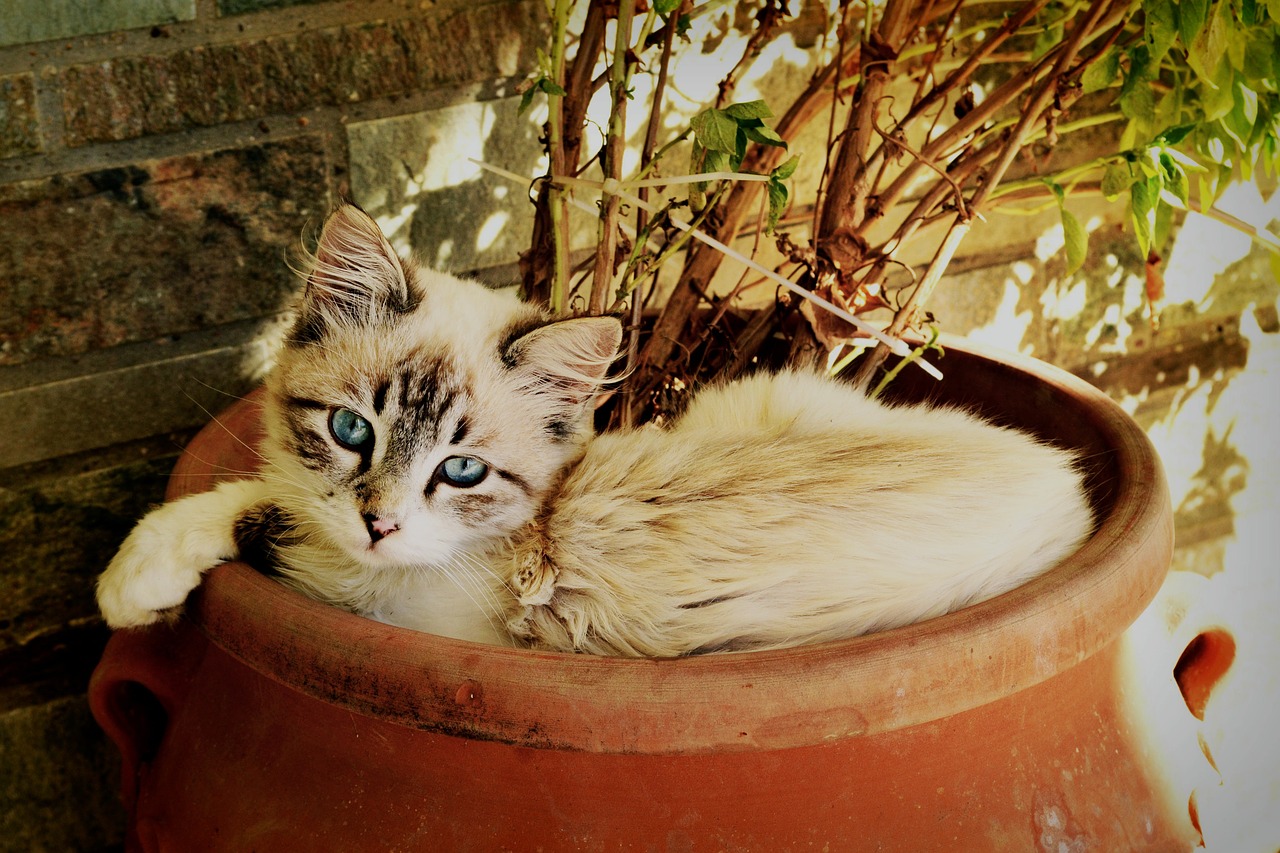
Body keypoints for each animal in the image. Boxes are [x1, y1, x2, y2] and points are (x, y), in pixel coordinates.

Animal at [94, 202, 1095, 653]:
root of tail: (1078, 491)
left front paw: (127, 586)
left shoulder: (410, 608)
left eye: (462, 471)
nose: (380, 522)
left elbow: (258, 507)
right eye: (351, 428)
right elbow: (281, 496)